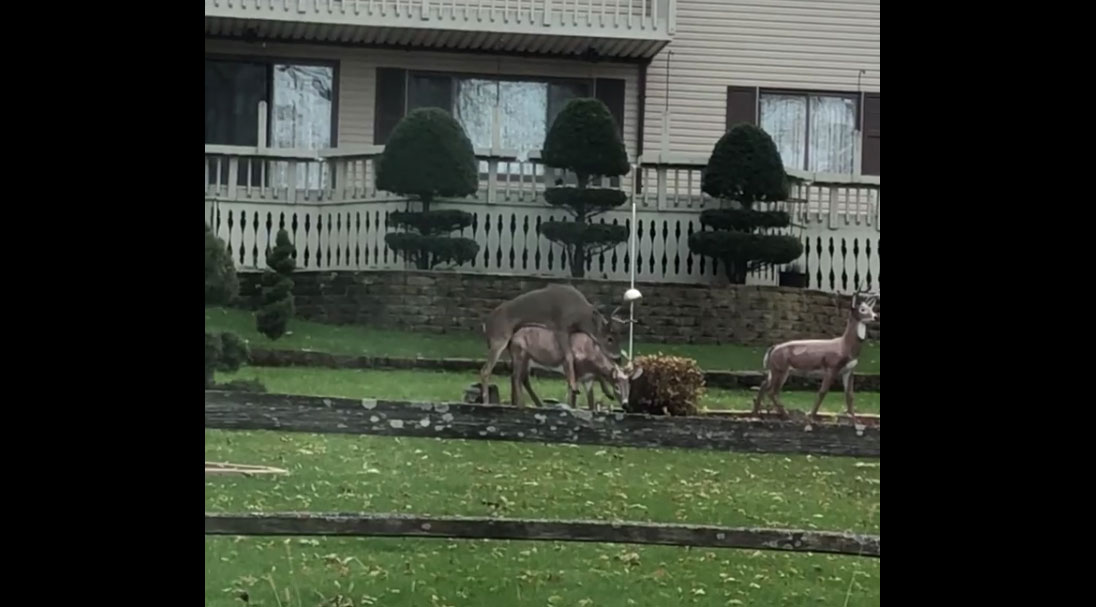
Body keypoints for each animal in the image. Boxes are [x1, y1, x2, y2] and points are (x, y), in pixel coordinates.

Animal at [477, 282, 622, 401]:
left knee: (517, 376)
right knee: (486, 371)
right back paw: (486, 402)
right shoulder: (561, 327)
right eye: (610, 339)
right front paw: (573, 386)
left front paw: (608, 392)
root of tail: (486, 325)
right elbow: (569, 356)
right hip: (499, 339)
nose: (619, 356)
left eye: (618, 337)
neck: (581, 316)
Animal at [506, 326, 640, 411]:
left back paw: (534, 404)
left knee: (522, 378)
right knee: (516, 377)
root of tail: (512, 338)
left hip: (528, 362)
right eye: (616, 387)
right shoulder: (576, 373)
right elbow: (574, 400)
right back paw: (521, 405)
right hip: (520, 355)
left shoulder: (588, 379)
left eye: (629, 386)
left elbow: (591, 403)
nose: (626, 405)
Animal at [754, 291, 881, 422]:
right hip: (780, 368)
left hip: (775, 369)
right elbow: (822, 392)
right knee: (772, 391)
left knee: (764, 385)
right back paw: (786, 415)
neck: (844, 346)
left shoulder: (849, 370)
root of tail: (773, 348)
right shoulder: (831, 367)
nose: (876, 316)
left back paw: (757, 414)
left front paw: (854, 419)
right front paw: (811, 416)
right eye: (862, 309)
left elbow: (849, 395)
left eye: (871, 308)